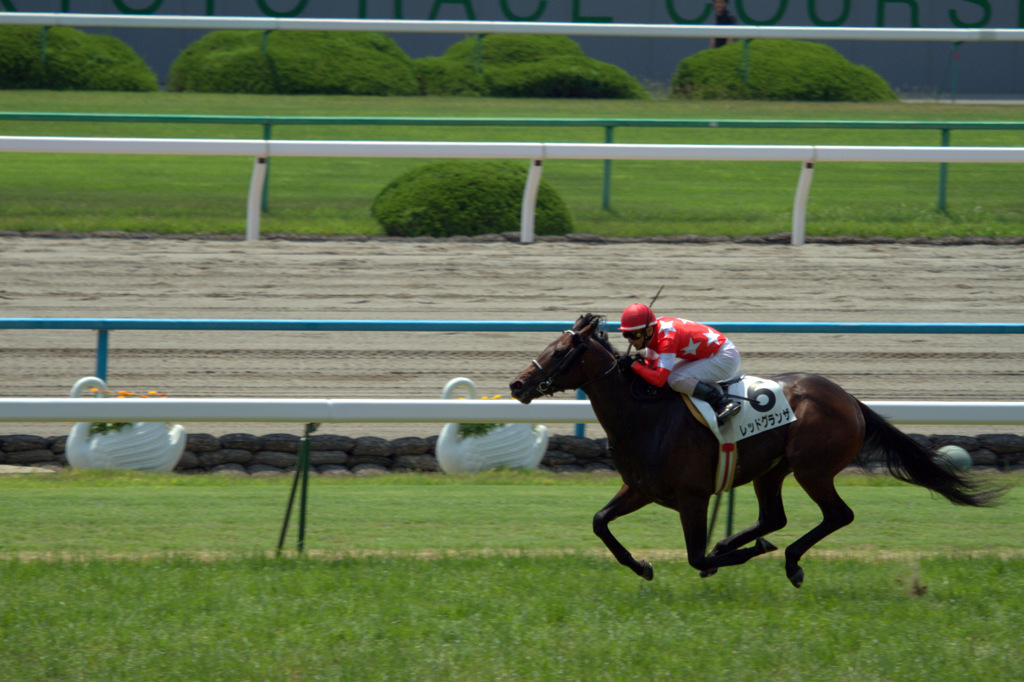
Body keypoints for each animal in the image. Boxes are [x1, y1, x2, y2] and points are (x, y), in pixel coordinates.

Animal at [507, 313, 1003, 585]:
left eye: (558, 353)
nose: (516, 384)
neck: (642, 415)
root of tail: (850, 399)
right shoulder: (641, 488)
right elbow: (600, 523)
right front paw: (643, 566)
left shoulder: (692, 497)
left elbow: (696, 555)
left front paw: (729, 557)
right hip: (771, 470)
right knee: (774, 517)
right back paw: (743, 541)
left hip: (811, 467)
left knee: (836, 515)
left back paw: (788, 561)